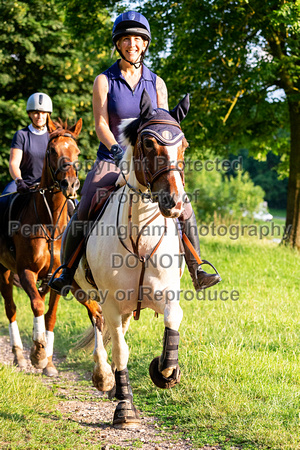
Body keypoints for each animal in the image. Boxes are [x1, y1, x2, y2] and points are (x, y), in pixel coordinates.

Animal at [0, 116, 81, 376]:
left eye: (76, 151)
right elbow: (36, 305)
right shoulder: (26, 271)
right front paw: (37, 354)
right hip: (3, 271)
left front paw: (49, 363)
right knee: (11, 308)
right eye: (52, 151)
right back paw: (19, 355)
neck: (49, 221)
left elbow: (50, 316)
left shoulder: (56, 277)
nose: (70, 184)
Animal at [72, 89, 189, 428]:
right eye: (148, 143)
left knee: (118, 330)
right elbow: (121, 351)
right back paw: (104, 378)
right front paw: (125, 409)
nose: (174, 202)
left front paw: (164, 372)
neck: (141, 238)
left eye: (184, 146)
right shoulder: (110, 300)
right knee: (101, 326)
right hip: (87, 293)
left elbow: (172, 326)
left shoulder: (168, 296)